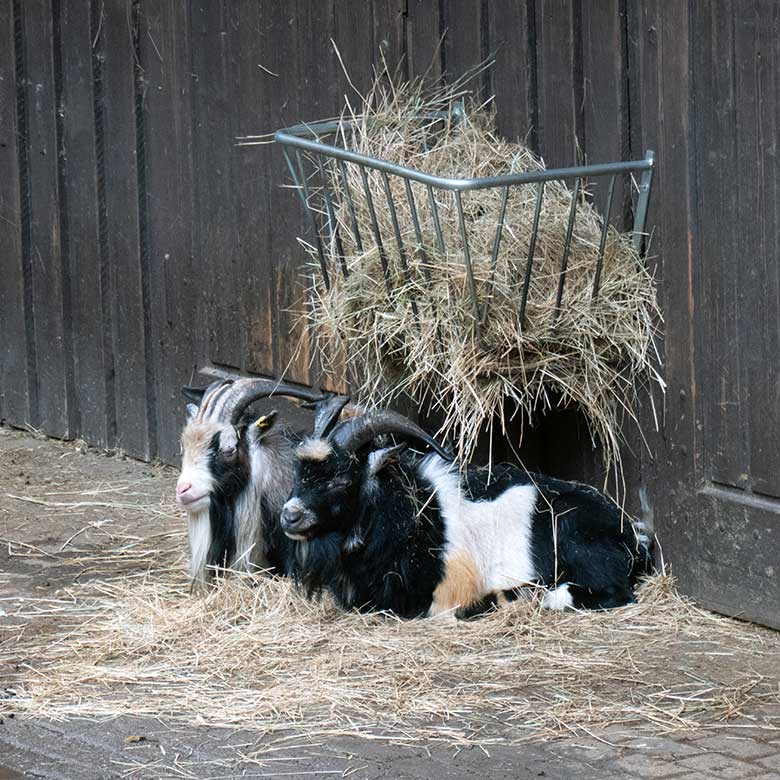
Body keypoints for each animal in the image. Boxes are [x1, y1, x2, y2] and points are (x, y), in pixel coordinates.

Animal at [280, 412, 652, 620]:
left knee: (616, 594)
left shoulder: (444, 594)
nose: (289, 516)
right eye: (300, 473)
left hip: (582, 549)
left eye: (342, 479)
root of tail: (630, 534)